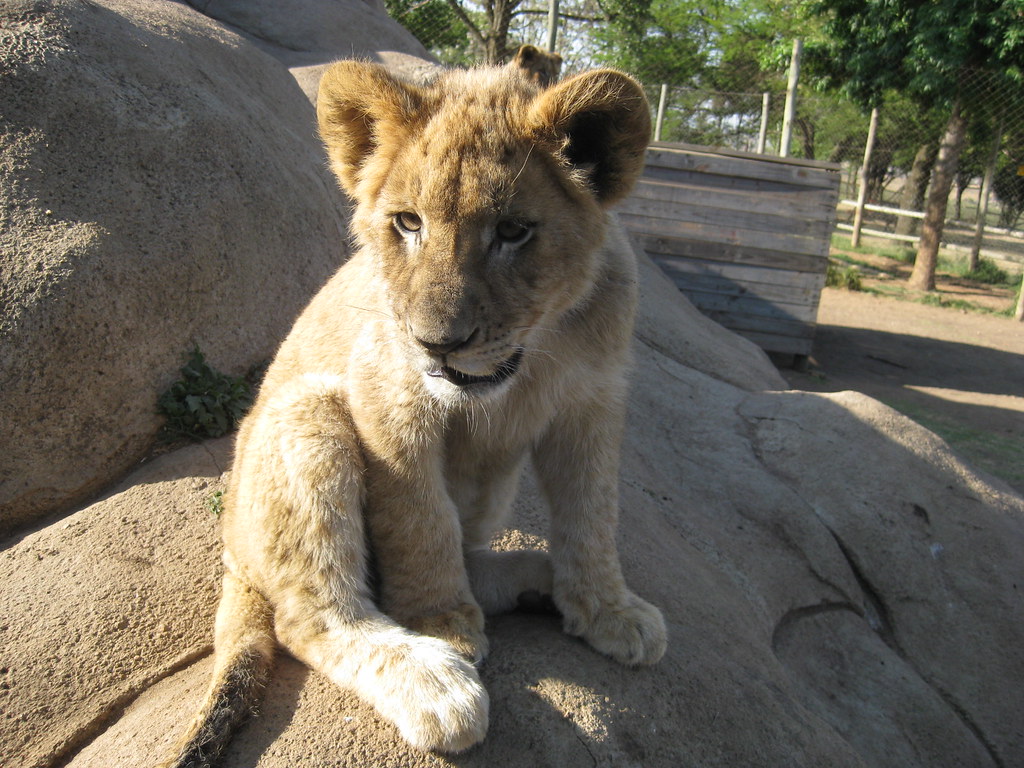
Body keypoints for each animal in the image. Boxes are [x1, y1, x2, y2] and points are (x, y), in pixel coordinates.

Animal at [164, 60, 666, 766]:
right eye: (408, 222)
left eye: (513, 231)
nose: (437, 343)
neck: (533, 357)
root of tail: (232, 559)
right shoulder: (388, 397)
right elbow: (418, 521)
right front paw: (441, 624)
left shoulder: (591, 405)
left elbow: (593, 516)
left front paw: (607, 609)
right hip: (308, 411)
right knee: (310, 615)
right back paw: (433, 682)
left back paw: (537, 583)